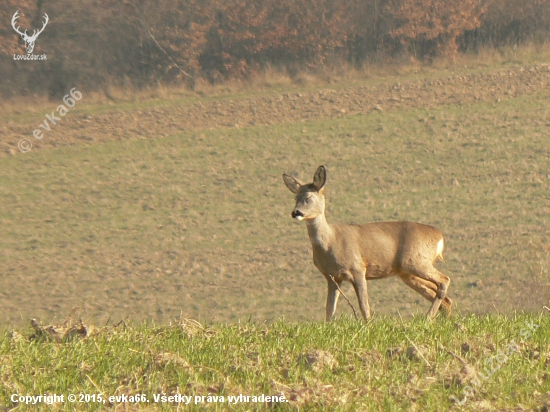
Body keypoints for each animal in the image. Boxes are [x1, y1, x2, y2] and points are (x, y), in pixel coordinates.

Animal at [284, 166, 452, 320]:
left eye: (308, 197)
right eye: (295, 198)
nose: (295, 212)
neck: (330, 242)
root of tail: (439, 236)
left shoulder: (358, 268)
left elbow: (364, 306)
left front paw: (368, 325)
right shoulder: (332, 277)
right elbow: (330, 310)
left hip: (416, 262)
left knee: (444, 281)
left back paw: (428, 318)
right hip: (407, 273)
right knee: (445, 298)